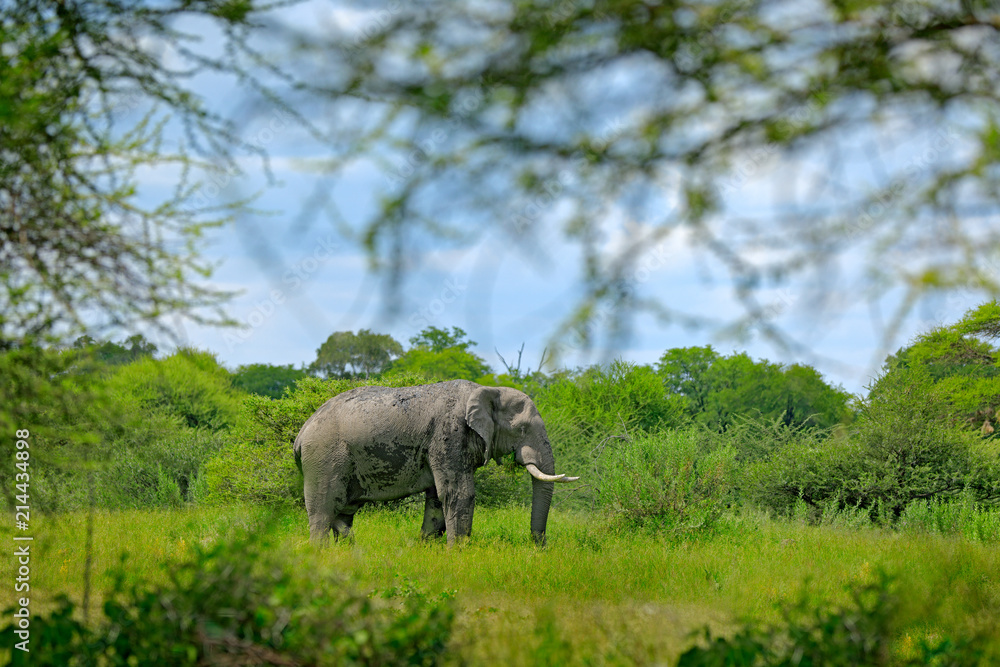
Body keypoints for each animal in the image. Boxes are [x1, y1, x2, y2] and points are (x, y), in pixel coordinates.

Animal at [293, 379, 578, 546]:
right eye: (522, 429)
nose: (538, 546)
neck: (487, 389)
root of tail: (301, 432)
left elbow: (438, 497)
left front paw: (427, 546)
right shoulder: (449, 433)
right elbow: (458, 493)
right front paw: (459, 551)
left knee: (344, 511)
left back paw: (346, 547)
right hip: (324, 457)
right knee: (323, 509)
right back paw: (321, 552)